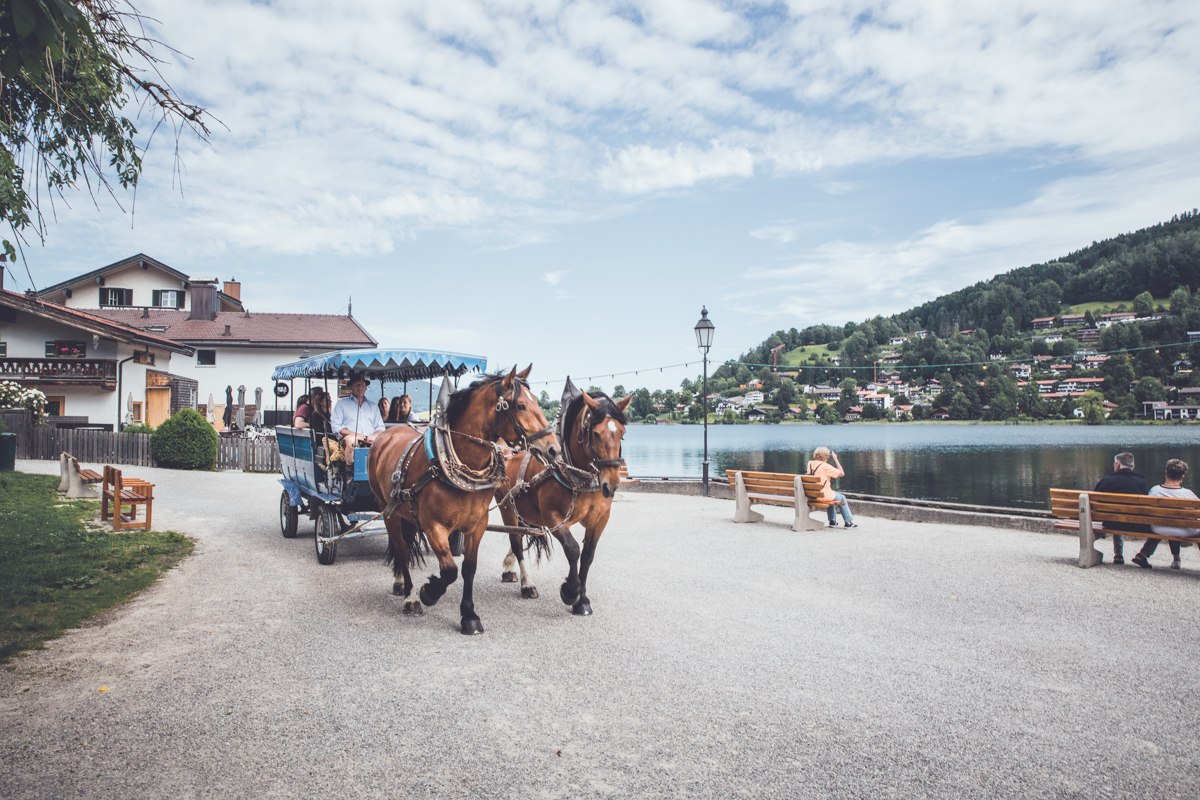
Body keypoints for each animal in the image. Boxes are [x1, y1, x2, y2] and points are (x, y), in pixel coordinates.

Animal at [364, 367, 556, 633]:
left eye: (537, 401)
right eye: (520, 405)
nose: (553, 448)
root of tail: (387, 433)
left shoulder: (477, 525)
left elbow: (468, 569)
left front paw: (469, 615)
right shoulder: (433, 525)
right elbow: (449, 570)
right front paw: (429, 592)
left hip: (407, 512)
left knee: (406, 544)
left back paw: (401, 583)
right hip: (388, 510)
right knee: (401, 549)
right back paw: (410, 597)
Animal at [496, 381, 633, 614]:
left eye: (622, 433)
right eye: (595, 434)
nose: (612, 484)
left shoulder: (600, 518)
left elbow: (587, 555)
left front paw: (583, 600)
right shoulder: (553, 517)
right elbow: (572, 548)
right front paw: (570, 591)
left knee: (519, 536)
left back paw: (509, 567)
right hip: (507, 507)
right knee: (516, 540)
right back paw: (527, 584)